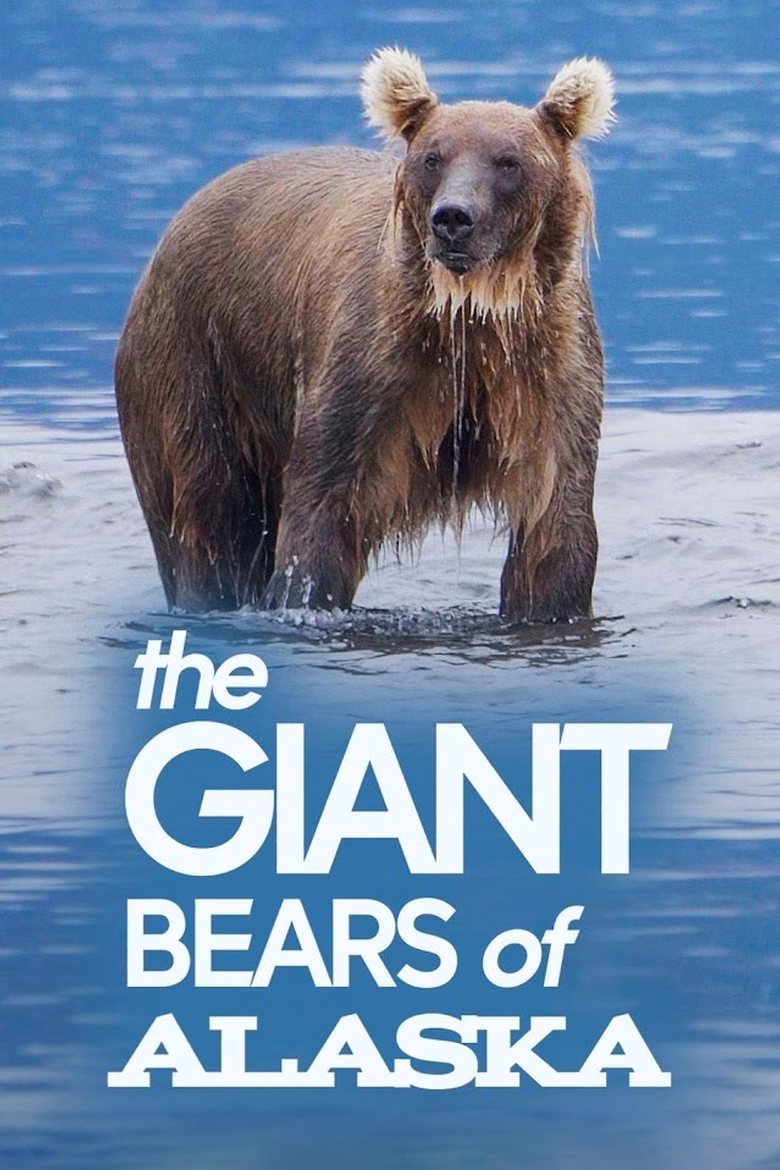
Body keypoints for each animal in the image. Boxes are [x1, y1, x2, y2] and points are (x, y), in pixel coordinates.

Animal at [115, 48, 615, 622]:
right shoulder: (373, 367)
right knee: (205, 514)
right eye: (433, 157)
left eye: (508, 161)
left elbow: (554, 524)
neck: (470, 315)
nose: (453, 218)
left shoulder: (545, 373)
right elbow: (320, 515)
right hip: (193, 359)